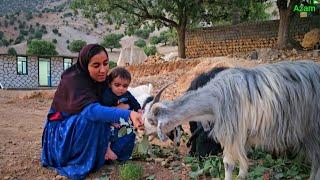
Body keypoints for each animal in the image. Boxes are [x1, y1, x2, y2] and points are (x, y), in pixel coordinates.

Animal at [142, 60, 320, 180]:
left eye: (151, 120)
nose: (143, 133)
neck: (214, 97)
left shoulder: (232, 130)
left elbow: (228, 163)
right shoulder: (241, 133)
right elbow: (242, 161)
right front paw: (242, 174)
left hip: (312, 127)